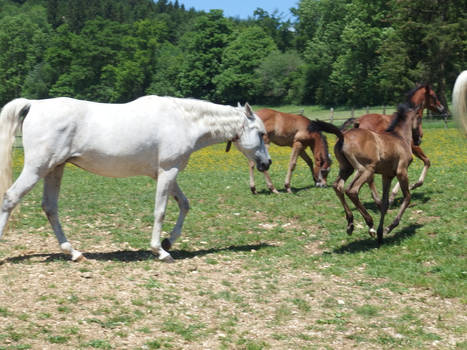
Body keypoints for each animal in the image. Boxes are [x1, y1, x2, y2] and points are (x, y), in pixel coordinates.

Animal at [0, 95, 272, 262]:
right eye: (260, 133)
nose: (266, 163)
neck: (183, 121)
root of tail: (34, 104)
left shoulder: (167, 173)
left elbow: (184, 204)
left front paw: (169, 241)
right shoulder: (167, 171)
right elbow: (160, 211)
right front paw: (160, 251)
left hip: (55, 169)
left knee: (50, 207)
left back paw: (74, 253)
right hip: (37, 168)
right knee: (10, 198)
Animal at [312, 104, 422, 243]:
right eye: (419, 118)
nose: (419, 138)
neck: (399, 137)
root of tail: (343, 136)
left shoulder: (387, 176)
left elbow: (384, 203)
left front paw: (381, 233)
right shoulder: (401, 171)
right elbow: (407, 197)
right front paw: (389, 227)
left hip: (347, 168)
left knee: (338, 186)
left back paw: (350, 224)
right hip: (366, 169)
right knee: (352, 190)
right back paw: (370, 225)